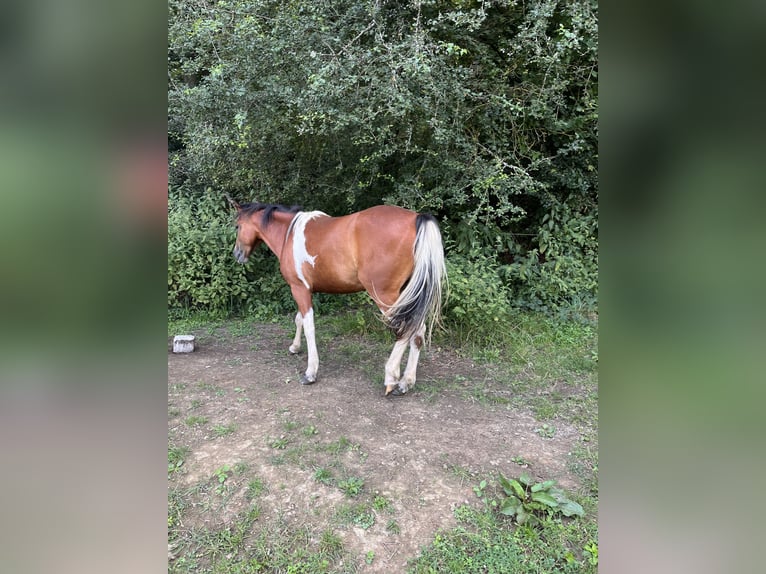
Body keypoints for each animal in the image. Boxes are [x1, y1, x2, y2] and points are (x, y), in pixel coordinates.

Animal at [228, 198, 448, 396]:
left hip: (385, 296)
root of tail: (415, 218)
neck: (289, 234)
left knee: (405, 329)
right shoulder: (305, 290)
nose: (237, 254)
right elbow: (299, 319)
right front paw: (295, 347)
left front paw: (310, 372)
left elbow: (309, 327)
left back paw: (391, 378)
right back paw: (406, 382)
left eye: (238, 226)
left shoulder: (299, 289)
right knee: (418, 330)